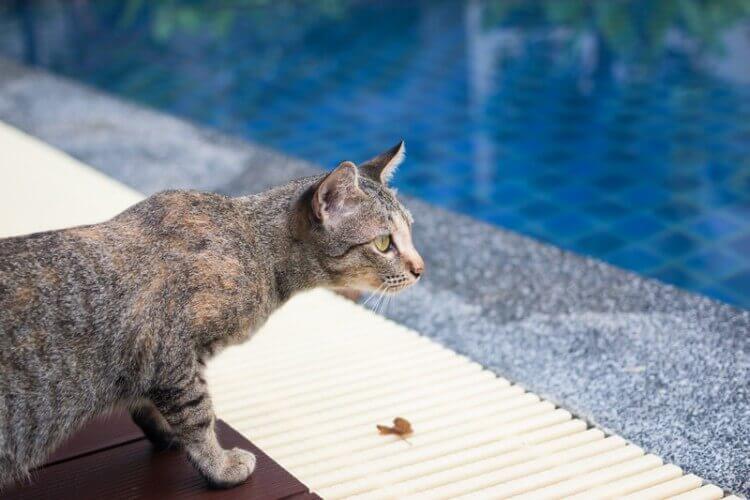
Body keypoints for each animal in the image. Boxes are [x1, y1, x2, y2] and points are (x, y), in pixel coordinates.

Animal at [0, 141, 424, 488]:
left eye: (411, 232)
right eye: (383, 243)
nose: (421, 268)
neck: (256, 247)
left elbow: (151, 406)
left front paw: (163, 431)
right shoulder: (171, 355)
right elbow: (199, 416)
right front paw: (219, 466)